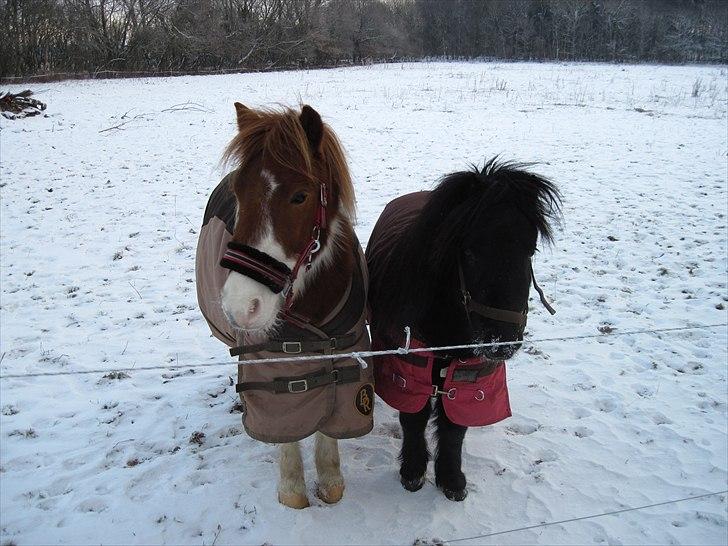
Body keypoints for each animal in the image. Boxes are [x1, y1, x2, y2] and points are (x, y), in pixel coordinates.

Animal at [196, 103, 374, 509]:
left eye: (300, 196)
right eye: (239, 192)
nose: (241, 305)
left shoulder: (347, 363)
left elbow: (329, 429)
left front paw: (330, 481)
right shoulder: (271, 369)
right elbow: (285, 429)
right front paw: (293, 488)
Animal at [366, 159, 562, 501]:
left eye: (531, 250)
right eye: (469, 252)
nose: (502, 342)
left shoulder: (469, 371)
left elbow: (454, 425)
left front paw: (451, 478)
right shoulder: (410, 366)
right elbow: (414, 417)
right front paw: (413, 471)